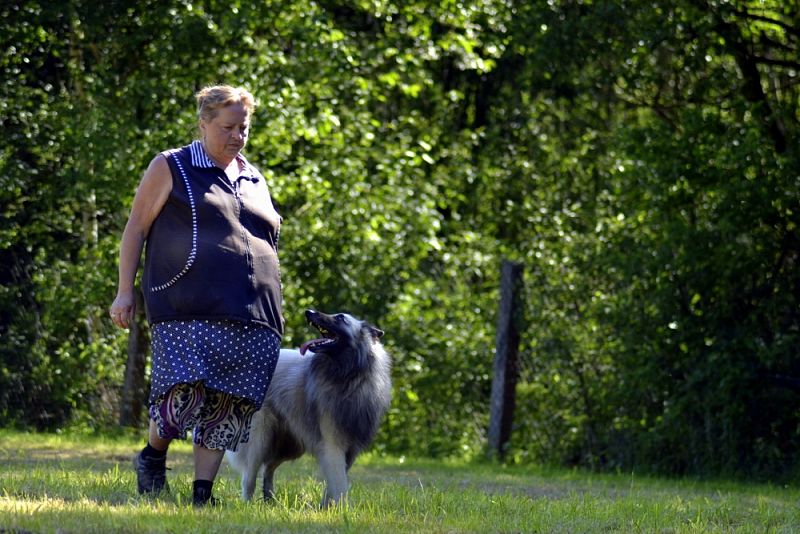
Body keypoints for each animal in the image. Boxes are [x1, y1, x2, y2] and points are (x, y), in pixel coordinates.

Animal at [225, 310, 390, 506]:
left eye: (340, 318)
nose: (308, 312)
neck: (349, 376)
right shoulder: (333, 445)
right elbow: (340, 483)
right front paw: (343, 509)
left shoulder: (350, 450)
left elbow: (334, 484)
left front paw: (327, 507)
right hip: (261, 438)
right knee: (250, 475)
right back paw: (248, 504)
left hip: (290, 445)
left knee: (268, 467)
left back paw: (270, 499)